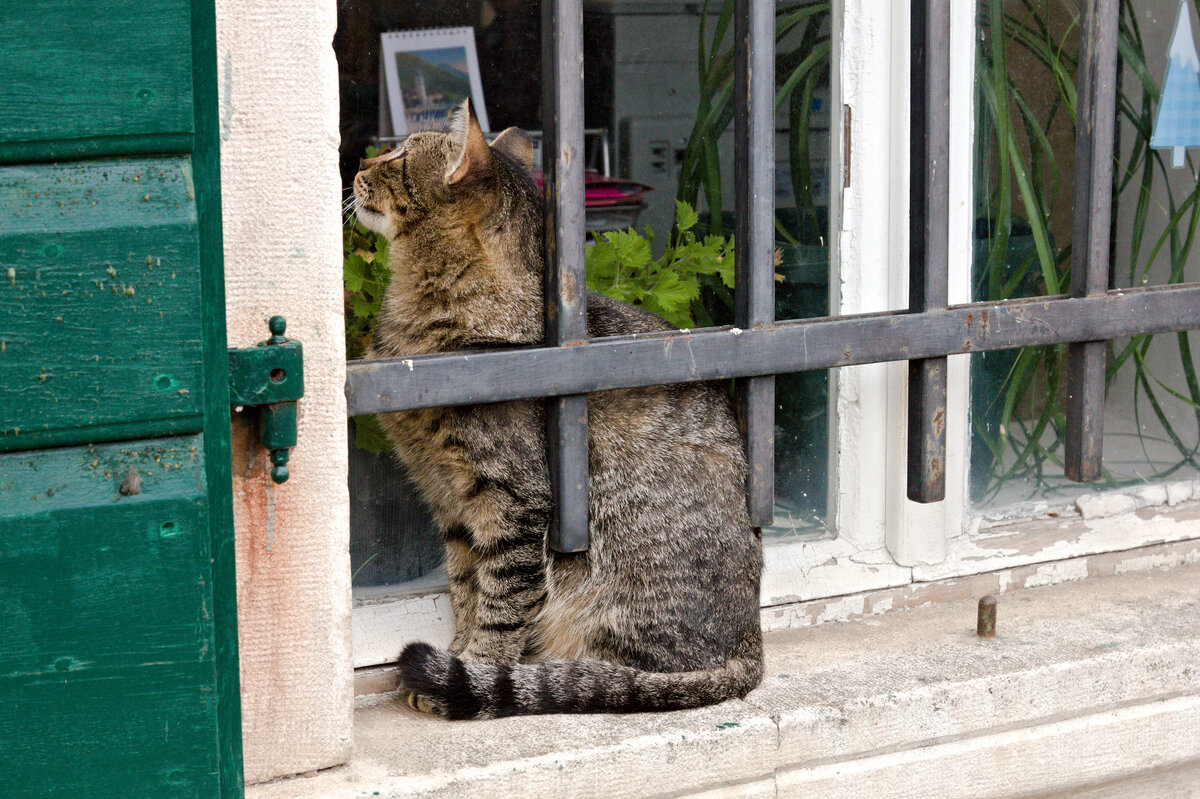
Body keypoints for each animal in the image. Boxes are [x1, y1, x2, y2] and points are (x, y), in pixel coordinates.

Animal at [350, 97, 763, 715]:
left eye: (398, 155)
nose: (357, 162)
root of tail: (752, 645)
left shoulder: (516, 504)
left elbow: (501, 602)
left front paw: (476, 667)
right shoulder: (451, 502)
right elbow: (466, 588)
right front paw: (458, 654)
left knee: (620, 673)